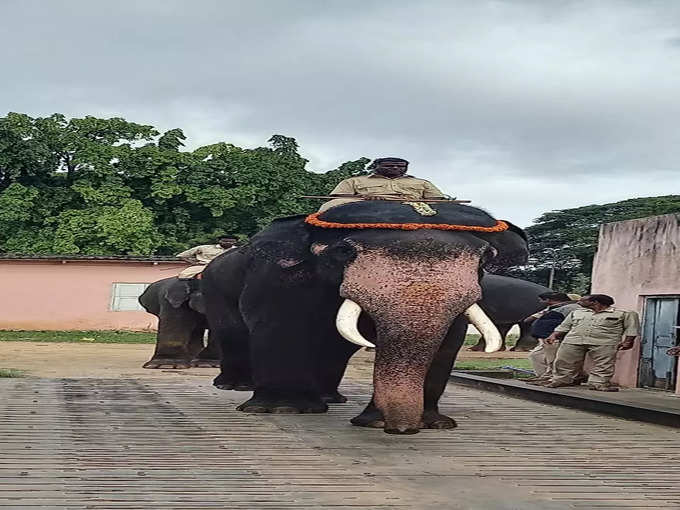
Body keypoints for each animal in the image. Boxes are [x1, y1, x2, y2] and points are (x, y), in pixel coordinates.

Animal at [199, 200, 528, 434]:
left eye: (484, 260)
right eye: (344, 252)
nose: (401, 430)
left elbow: (449, 340)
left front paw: (432, 424)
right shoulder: (280, 278)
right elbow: (282, 326)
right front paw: (283, 410)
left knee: (335, 349)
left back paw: (330, 399)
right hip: (214, 286)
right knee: (231, 332)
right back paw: (236, 387)